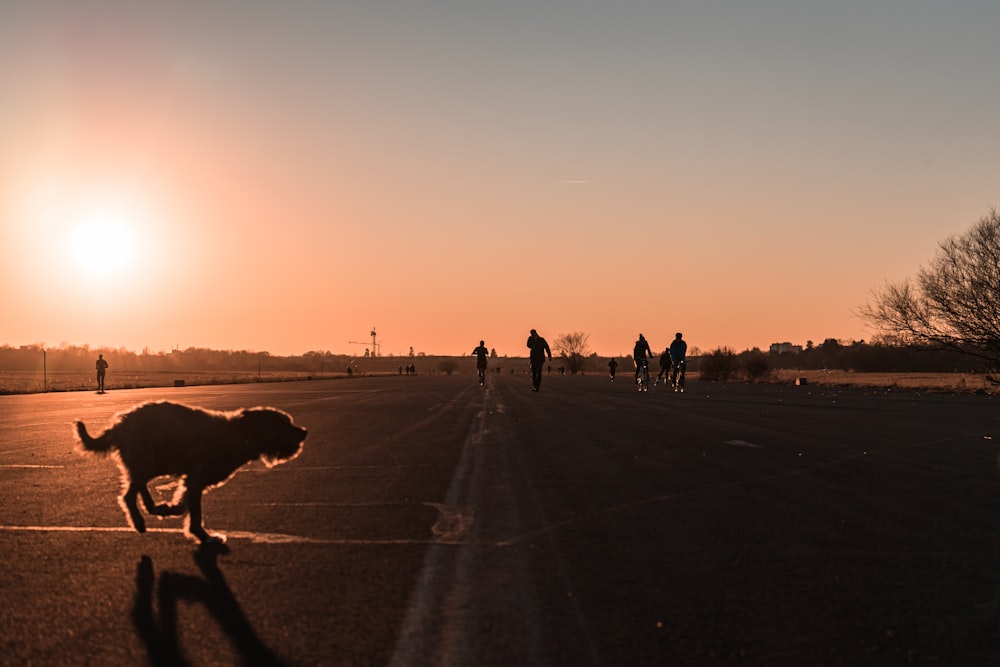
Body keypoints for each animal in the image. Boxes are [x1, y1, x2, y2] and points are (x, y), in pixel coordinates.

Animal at [75, 402, 304, 544]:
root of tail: (119, 425)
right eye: (283, 423)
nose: (304, 431)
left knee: (138, 485)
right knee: (128, 495)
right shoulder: (196, 479)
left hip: (153, 462)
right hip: (148, 460)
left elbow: (184, 503)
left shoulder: (193, 480)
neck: (239, 435)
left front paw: (172, 509)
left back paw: (152, 506)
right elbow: (194, 513)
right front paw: (202, 535)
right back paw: (139, 520)